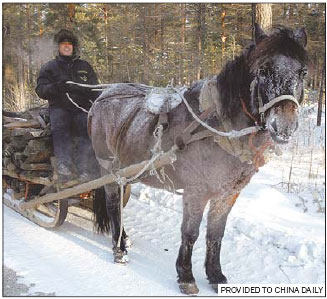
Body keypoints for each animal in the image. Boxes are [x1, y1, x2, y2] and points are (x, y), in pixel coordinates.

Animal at [88, 25, 312, 296]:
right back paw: (119, 250)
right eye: (263, 70)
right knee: (113, 206)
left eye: (302, 71)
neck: (219, 127)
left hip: (127, 171)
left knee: (120, 205)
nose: (285, 126)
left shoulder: (228, 193)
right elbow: (191, 232)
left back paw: (124, 239)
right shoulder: (196, 190)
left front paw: (215, 275)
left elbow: (216, 234)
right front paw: (186, 276)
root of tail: (102, 97)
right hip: (109, 169)